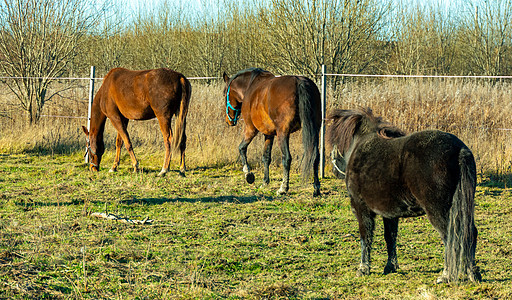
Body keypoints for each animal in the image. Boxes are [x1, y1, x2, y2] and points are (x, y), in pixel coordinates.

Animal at [223, 68, 320, 197]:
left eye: (225, 95)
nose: (228, 121)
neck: (250, 86)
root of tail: (299, 81)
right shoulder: (268, 134)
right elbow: (266, 157)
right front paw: (265, 182)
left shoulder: (250, 129)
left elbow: (241, 148)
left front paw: (248, 174)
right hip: (315, 130)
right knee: (315, 156)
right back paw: (316, 189)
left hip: (282, 134)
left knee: (287, 158)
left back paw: (283, 188)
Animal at [328, 108, 480, 284]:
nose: (334, 170)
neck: (359, 146)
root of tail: (459, 150)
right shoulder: (390, 214)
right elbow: (390, 238)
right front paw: (390, 266)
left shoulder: (361, 208)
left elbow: (366, 236)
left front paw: (363, 269)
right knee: (470, 234)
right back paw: (473, 274)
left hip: (439, 211)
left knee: (450, 237)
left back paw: (446, 275)